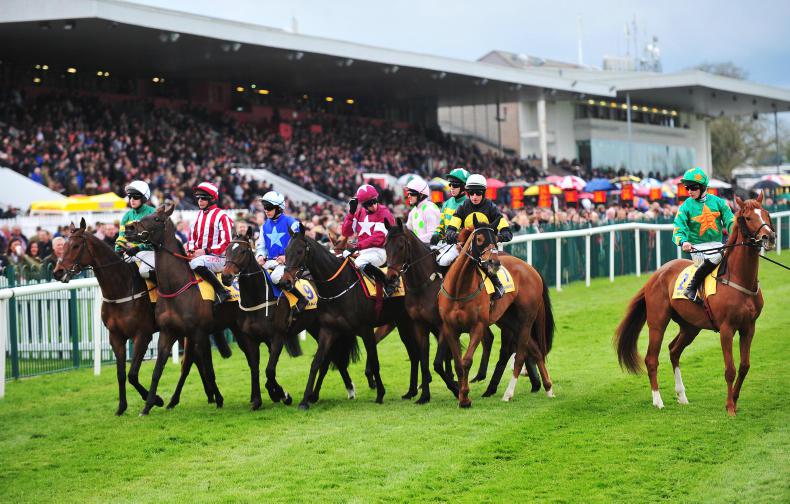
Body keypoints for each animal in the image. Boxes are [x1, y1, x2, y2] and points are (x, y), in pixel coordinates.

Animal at [52, 218, 231, 415]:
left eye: (75, 246)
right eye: (62, 246)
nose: (57, 272)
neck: (121, 288)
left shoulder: (142, 335)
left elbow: (132, 374)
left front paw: (156, 400)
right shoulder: (115, 336)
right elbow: (121, 374)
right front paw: (121, 407)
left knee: (191, 360)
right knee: (194, 360)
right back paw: (203, 396)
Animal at [221, 227, 359, 407]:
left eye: (243, 251)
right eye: (227, 251)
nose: (226, 277)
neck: (258, 298)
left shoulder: (277, 337)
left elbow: (269, 370)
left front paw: (282, 395)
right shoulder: (251, 339)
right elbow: (255, 368)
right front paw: (258, 400)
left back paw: (342, 390)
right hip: (316, 327)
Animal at [281, 224, 420, 409]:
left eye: (299, 251)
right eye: (286, 250)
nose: (285, 282)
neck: (339, 287)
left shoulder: (366, 330)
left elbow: (374, 361)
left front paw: (380, 394)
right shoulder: (329, 330)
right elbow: (317, 362)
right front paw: (305, 400)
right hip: (401, 322)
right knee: (413, 352)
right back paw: (411, 391)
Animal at [438, 221, 555, 408]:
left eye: (494, 238)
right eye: (479, 239)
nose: (494, 262)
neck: (459, 289)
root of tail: (531, 269)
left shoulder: (477, 327)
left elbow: (466, 361)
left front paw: (465, 397)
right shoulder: (449, 328)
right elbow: (457, 363)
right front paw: (462, 396)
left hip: (525, 320)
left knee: (520, 355)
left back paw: (508, 394)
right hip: (509, 321)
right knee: (536, 350)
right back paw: (548, 388)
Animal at [614, 194, 776, 415]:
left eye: (766, 214)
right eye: (749, 218)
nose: (770, 237)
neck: (738, 279)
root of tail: (656, 275)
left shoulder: (749, 327)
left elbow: (744, 366)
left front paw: (734, 400)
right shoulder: (727, 329)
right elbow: (730, 369)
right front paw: (730, 407)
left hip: (691, 326)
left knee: (674, 351)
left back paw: (682, 395)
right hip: (657, 323)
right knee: (651, 358)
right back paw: (658, 400)